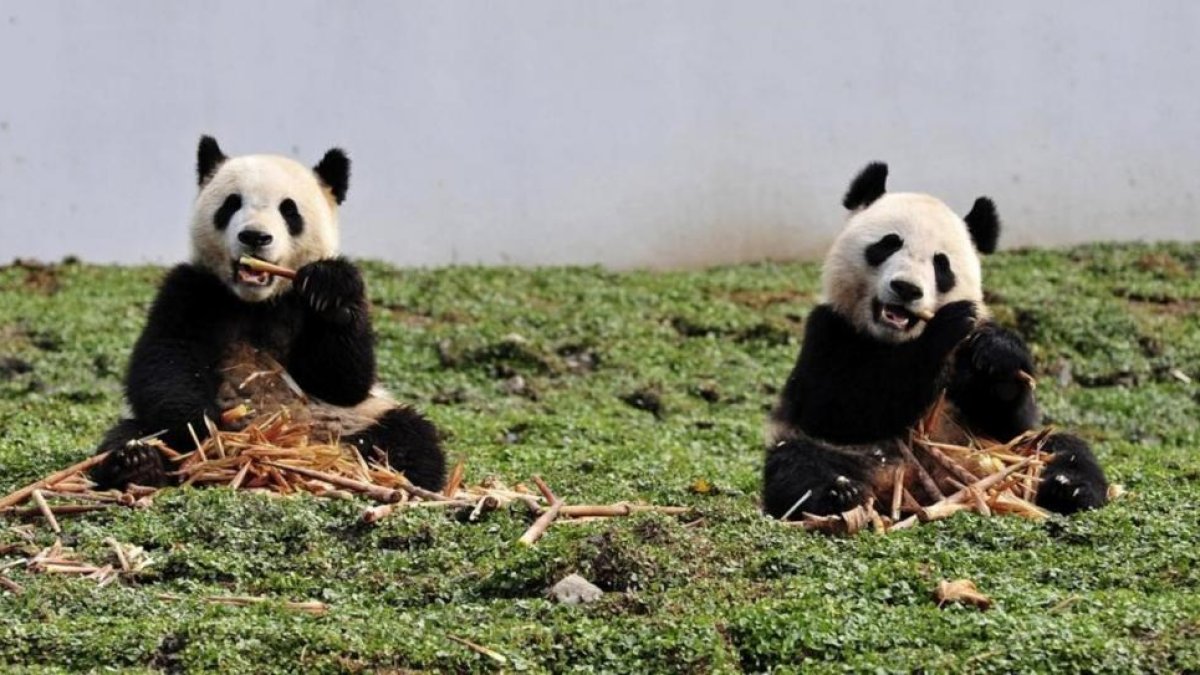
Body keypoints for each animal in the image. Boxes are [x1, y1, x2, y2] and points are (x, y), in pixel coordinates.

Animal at [89, 136, 446, 491]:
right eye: (232, 203)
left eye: (289, 210)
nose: (255, 236)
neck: (257, 302)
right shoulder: (192, 289)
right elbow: (166, 360)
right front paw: (203, 430)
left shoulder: (304, 306)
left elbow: (343, 381)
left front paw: (329, 289)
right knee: (129, 434)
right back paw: (138, 464)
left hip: (356, 418)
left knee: (412, 436)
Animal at [763, 162, 1108, 519]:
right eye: (888, 244)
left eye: (941, 264)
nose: (906, 288)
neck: (897, 340)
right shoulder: (829, 331)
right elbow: (837, 409)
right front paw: (946, 326)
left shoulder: (982, 397)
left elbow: (1009, 416)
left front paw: (998, 352)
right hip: (847, 453)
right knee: (798, 461)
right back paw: (838, 493)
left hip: (1003, 450)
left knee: (1063, 447)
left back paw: (1069, 488)